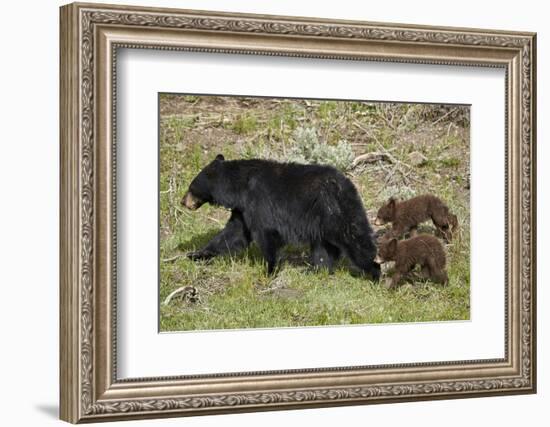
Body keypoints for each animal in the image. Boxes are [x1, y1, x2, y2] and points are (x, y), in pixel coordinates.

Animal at [183, 155, 382, 280]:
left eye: (190, 187)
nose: (182, 201)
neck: (240, 187)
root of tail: (347, 183)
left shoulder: (259, 202)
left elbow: (267, 235)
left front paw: (269, 271)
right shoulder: (243, 209)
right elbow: (233, 234)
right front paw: (196, 254)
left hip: (336, 211)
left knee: (355, 239)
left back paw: (375, 272)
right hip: (322, 221)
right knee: (324, 249)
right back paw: (316, 271)